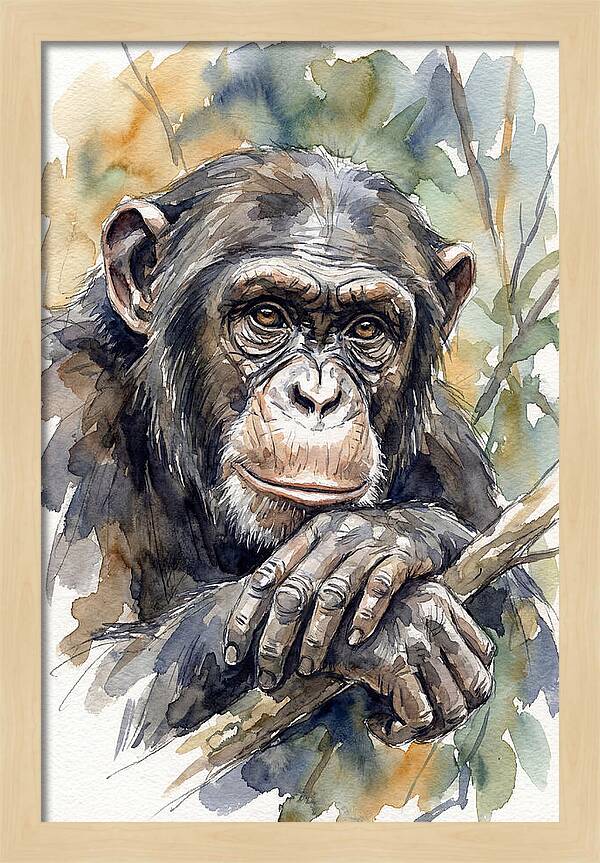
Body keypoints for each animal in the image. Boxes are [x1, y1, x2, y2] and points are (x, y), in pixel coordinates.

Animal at [43, 146, 537, 751]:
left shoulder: (449, 448)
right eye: (267, 315)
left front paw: (379, 538)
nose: (318, 396)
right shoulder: (65, 413)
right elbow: (86, 683)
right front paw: (403, 626)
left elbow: (532, 635)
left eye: (367, 328)